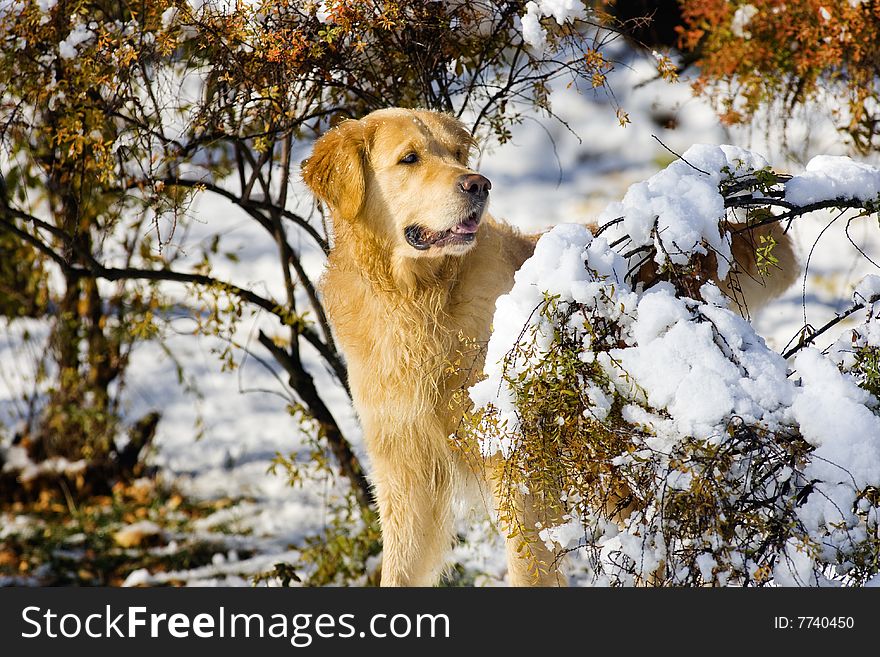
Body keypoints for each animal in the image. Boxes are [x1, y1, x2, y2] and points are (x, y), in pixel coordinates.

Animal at [300, 110, 796, 588]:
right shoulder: (405, 473)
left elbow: (528, 568)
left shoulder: (517, 468)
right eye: (409, 158)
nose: (478, 184)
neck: (419, 301)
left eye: (458, 153)